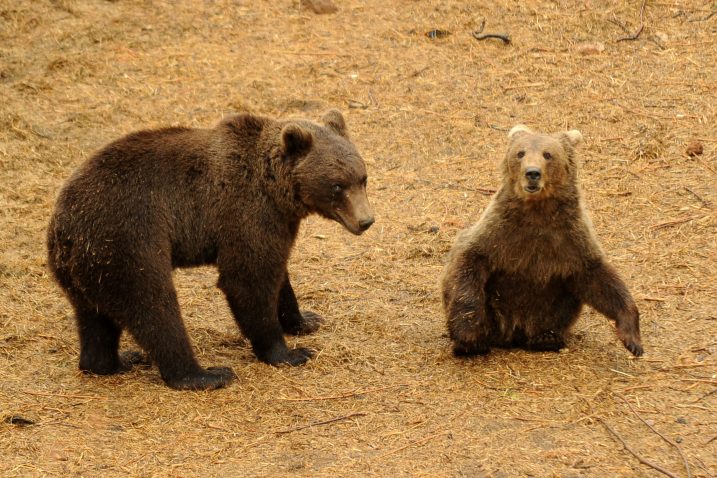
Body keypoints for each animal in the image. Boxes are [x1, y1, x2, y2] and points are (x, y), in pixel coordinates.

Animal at [46, 110, 374, 390]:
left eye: (362, 177)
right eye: (337, 185)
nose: (366, 220)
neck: (277, 191)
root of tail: (63, 228)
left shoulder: (278, 224)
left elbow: (278, 273)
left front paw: (306, 320)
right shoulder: (245, 212)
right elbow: (247, 279)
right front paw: (289, 353)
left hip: (89, 268)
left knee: (95, 319)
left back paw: (114, 361)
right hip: (129, 243)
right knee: (155, 308)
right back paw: (205, 374)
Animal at [442, 125, 644, 356]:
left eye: (548, 154)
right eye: (520, 153)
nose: (532, 173)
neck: (537, 211)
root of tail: (513, 332)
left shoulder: (572, 239)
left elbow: (599, 279)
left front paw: (632, 339)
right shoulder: (498, 234)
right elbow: (469, 262)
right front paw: (469, 337)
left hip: (549, 309)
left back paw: (547, 338)